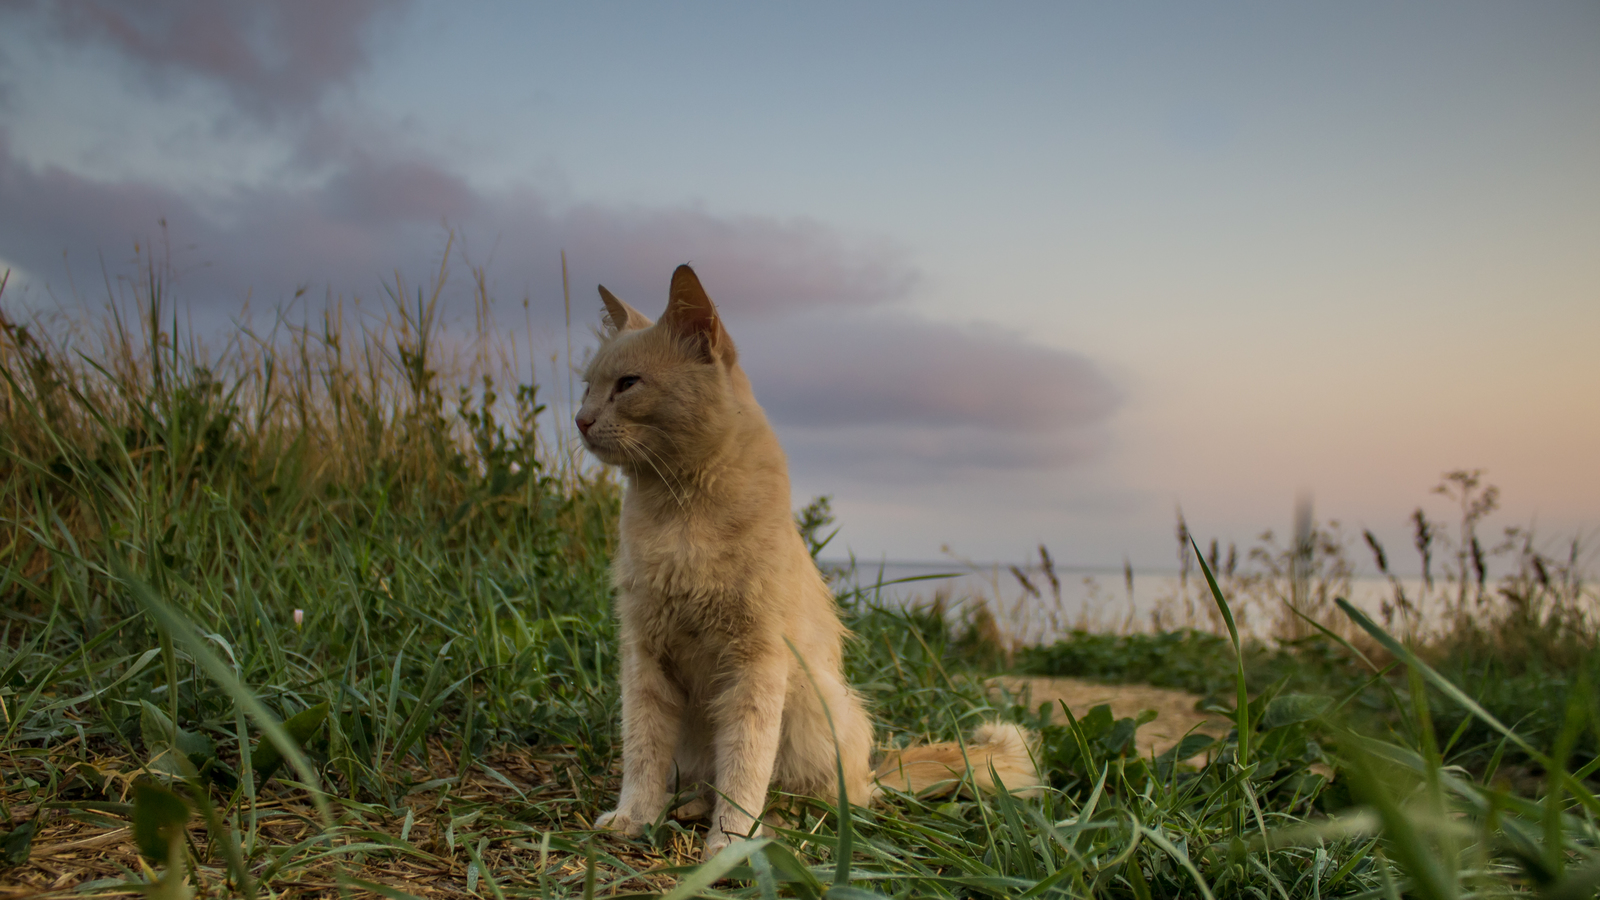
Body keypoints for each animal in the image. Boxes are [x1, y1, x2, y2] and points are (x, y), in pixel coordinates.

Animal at [576, 264, 1036, 851]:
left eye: (627, 384)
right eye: (587, 385)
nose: (580, 419)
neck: (679, 513)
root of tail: (872, 773)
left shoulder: (756, 664)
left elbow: (745, 766)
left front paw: (730, 843)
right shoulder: (644, 658)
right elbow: (643, 753)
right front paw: (633, 818)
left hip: (818, 709)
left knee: (824, 802)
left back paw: (771, 826)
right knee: (707, 780)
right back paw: (689, 807)